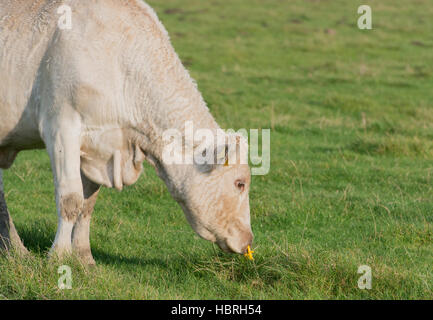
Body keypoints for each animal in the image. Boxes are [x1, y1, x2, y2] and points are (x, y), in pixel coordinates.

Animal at [0, 0, 253, 264]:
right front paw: (59, 256)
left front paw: (84, 257)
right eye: (240, 183)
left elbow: (88, 203)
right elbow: (71, 199)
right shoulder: (61, 127)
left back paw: (15, 250)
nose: (249, 240)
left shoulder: (99, 148)